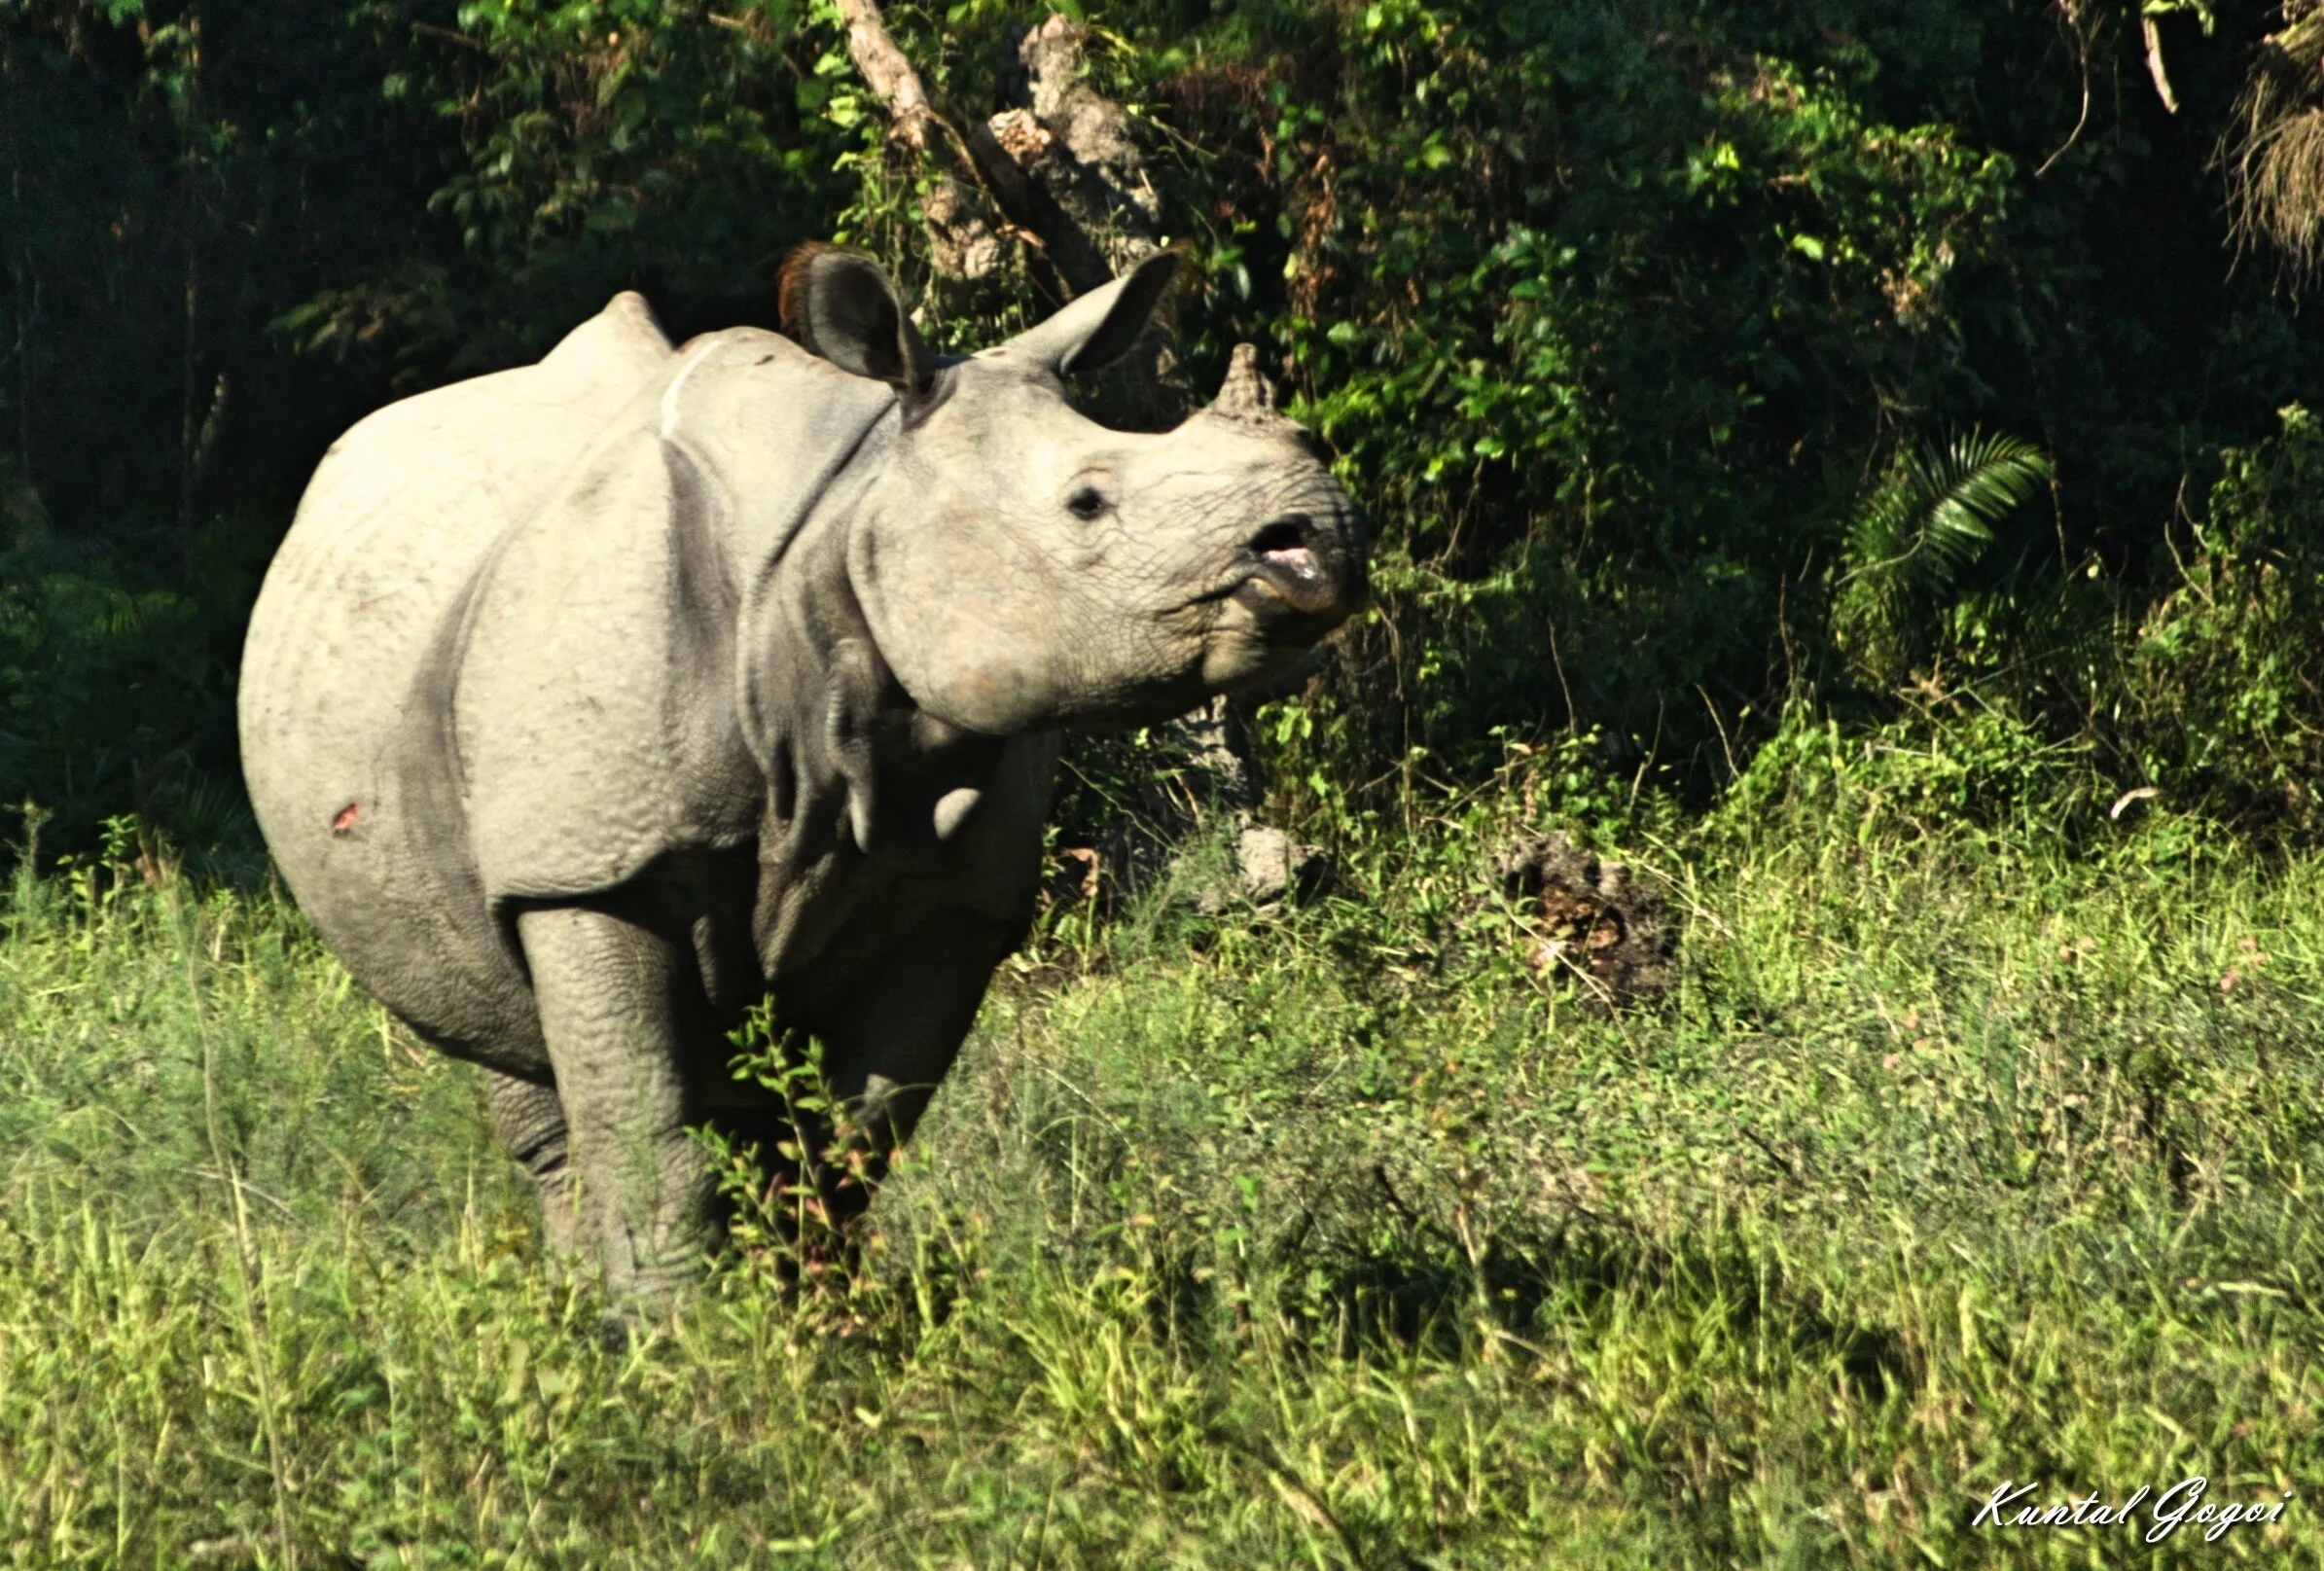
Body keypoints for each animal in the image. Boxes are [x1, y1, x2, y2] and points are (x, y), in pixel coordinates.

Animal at [238, 246, 1365, 1304]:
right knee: (523, 1056)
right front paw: (676, 1347)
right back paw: (576, 1307)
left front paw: (808, 1318)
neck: (848, 528)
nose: (1317, 534)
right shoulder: (589, 862)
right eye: (1088, 504)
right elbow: (645, 1133)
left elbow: (846, 1146)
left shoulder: (957, 894)